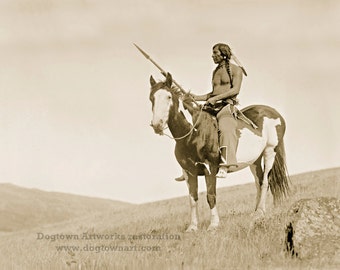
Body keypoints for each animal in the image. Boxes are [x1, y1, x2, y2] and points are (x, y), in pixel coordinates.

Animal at [149, 73, 290, 231]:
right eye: (151, 98)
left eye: (168, 97)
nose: (157, 125)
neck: (193, 132)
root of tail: (276, 114)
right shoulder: (190, 172)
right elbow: (192, 199)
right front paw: (192, 227)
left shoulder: (210, 168)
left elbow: (211, 195)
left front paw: (214, 225)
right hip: (254, 161)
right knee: (258, 183)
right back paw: (256, 213)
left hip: (270, 152)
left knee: (265, 181)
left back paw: (259, 213)